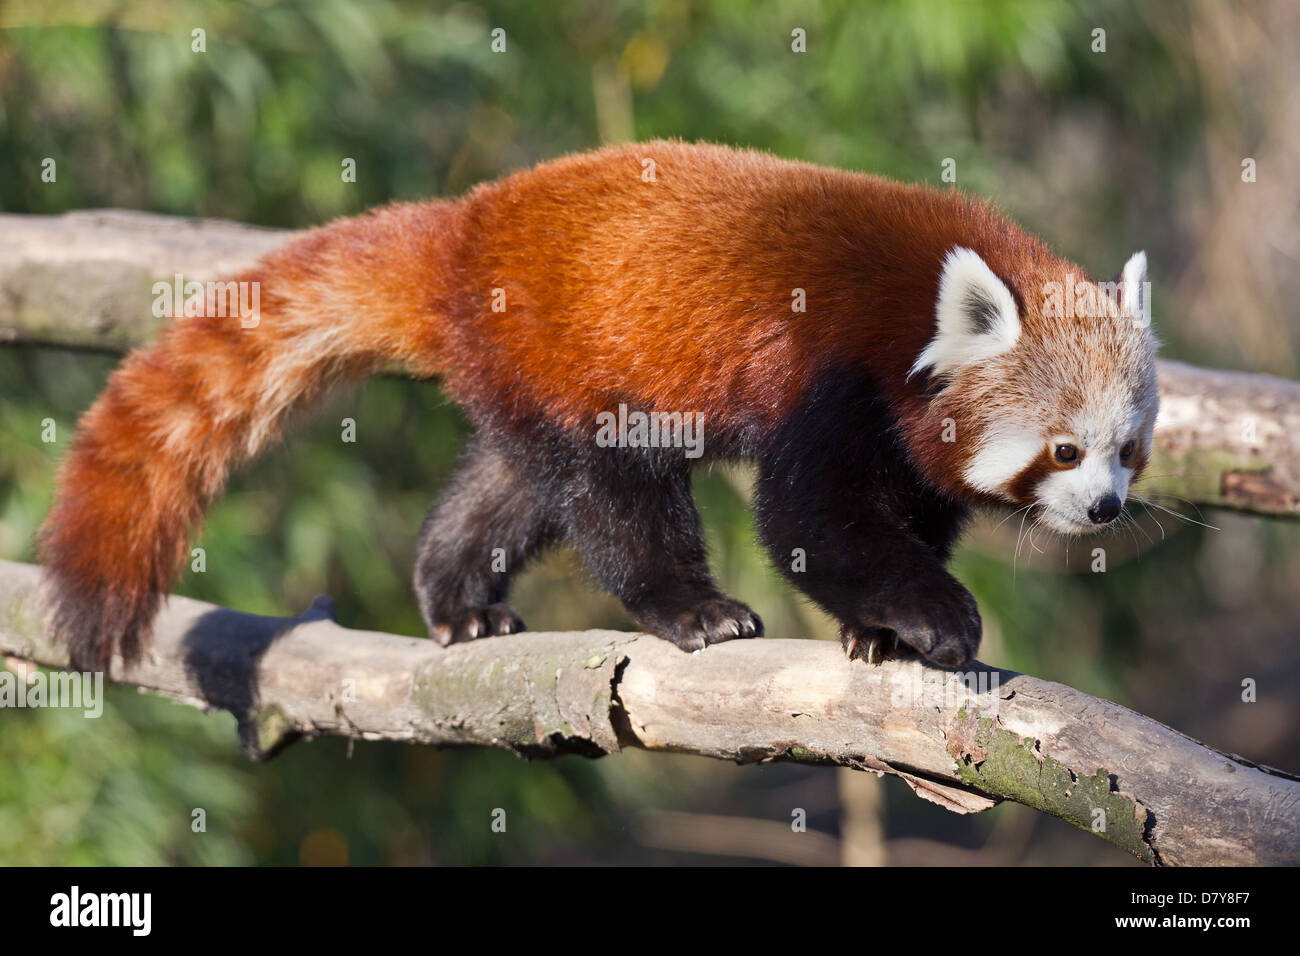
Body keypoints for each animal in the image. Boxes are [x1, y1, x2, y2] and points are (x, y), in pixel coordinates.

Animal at [38, 141, 1159, 671]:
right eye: (1065, 450)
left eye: (1129, 450)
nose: (1105, 508)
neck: (911, 312)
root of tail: (464, 228)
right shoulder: (831, 372)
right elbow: (809, 519)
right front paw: (931, 616)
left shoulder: (902, 433)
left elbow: (896, 512)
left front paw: (878, 633)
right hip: (577, 357)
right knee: (617, 495)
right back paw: (688, 607)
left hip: (524, 375)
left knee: (512, 485)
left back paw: (455, 597)